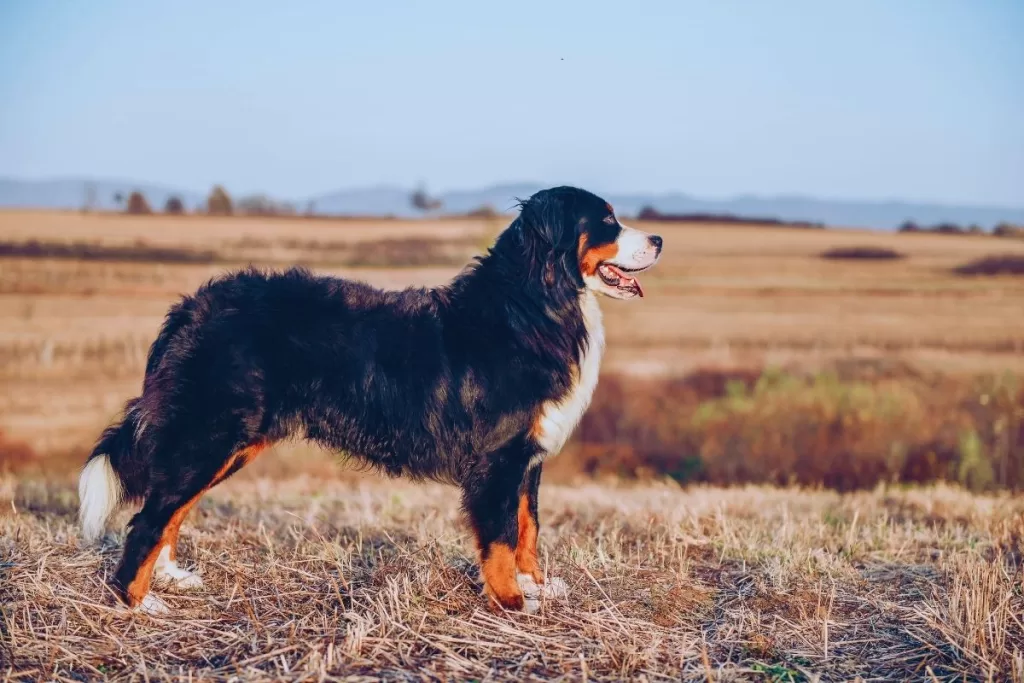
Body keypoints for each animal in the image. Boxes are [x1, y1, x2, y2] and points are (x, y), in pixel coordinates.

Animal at [75, 185, 659, 614]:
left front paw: (537, 586)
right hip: (209, 434)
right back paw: (137, 604)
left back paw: (170, 578)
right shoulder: (498, 458)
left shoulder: (527, 457)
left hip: (228, 442)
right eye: (607, 221)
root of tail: (192, 307)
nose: (657, 238)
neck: (534, 303)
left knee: (170, 510)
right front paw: (513, 602)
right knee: (148, 519)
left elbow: (527, 528)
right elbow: (498, 537)